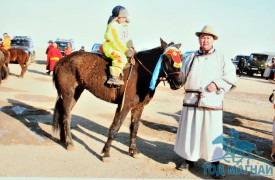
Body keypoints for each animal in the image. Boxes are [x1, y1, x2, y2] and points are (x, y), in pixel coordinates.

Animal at [52, 38, 185, 160]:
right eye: (166, 58)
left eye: (182, 58)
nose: (179, 82)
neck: (141, 74)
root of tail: (61, 61)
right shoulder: (124, 106)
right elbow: (115, 128)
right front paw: (106, 152)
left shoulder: (138, 107)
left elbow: (134, 128)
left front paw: (133, 151)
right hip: (68, 94)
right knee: (66, 116)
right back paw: (69, 142)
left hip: (75, 93)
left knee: (64, 114)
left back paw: (64, 140)